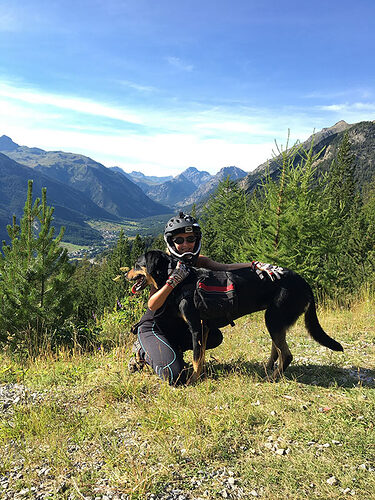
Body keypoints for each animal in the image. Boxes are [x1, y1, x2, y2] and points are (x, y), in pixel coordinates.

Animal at [128, 250, 346, 382]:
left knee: (286, 354)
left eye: (137, 265)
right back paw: (267, 369)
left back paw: (272, 378)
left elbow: (197, 357)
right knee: (277, 349)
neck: (178, 277)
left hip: (274, 319)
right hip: (274, 321)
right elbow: (202, 355)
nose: (124, 275)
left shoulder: (195, 327)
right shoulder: (204, 327)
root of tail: (305, 283)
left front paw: (193, 380)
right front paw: (202, 375)